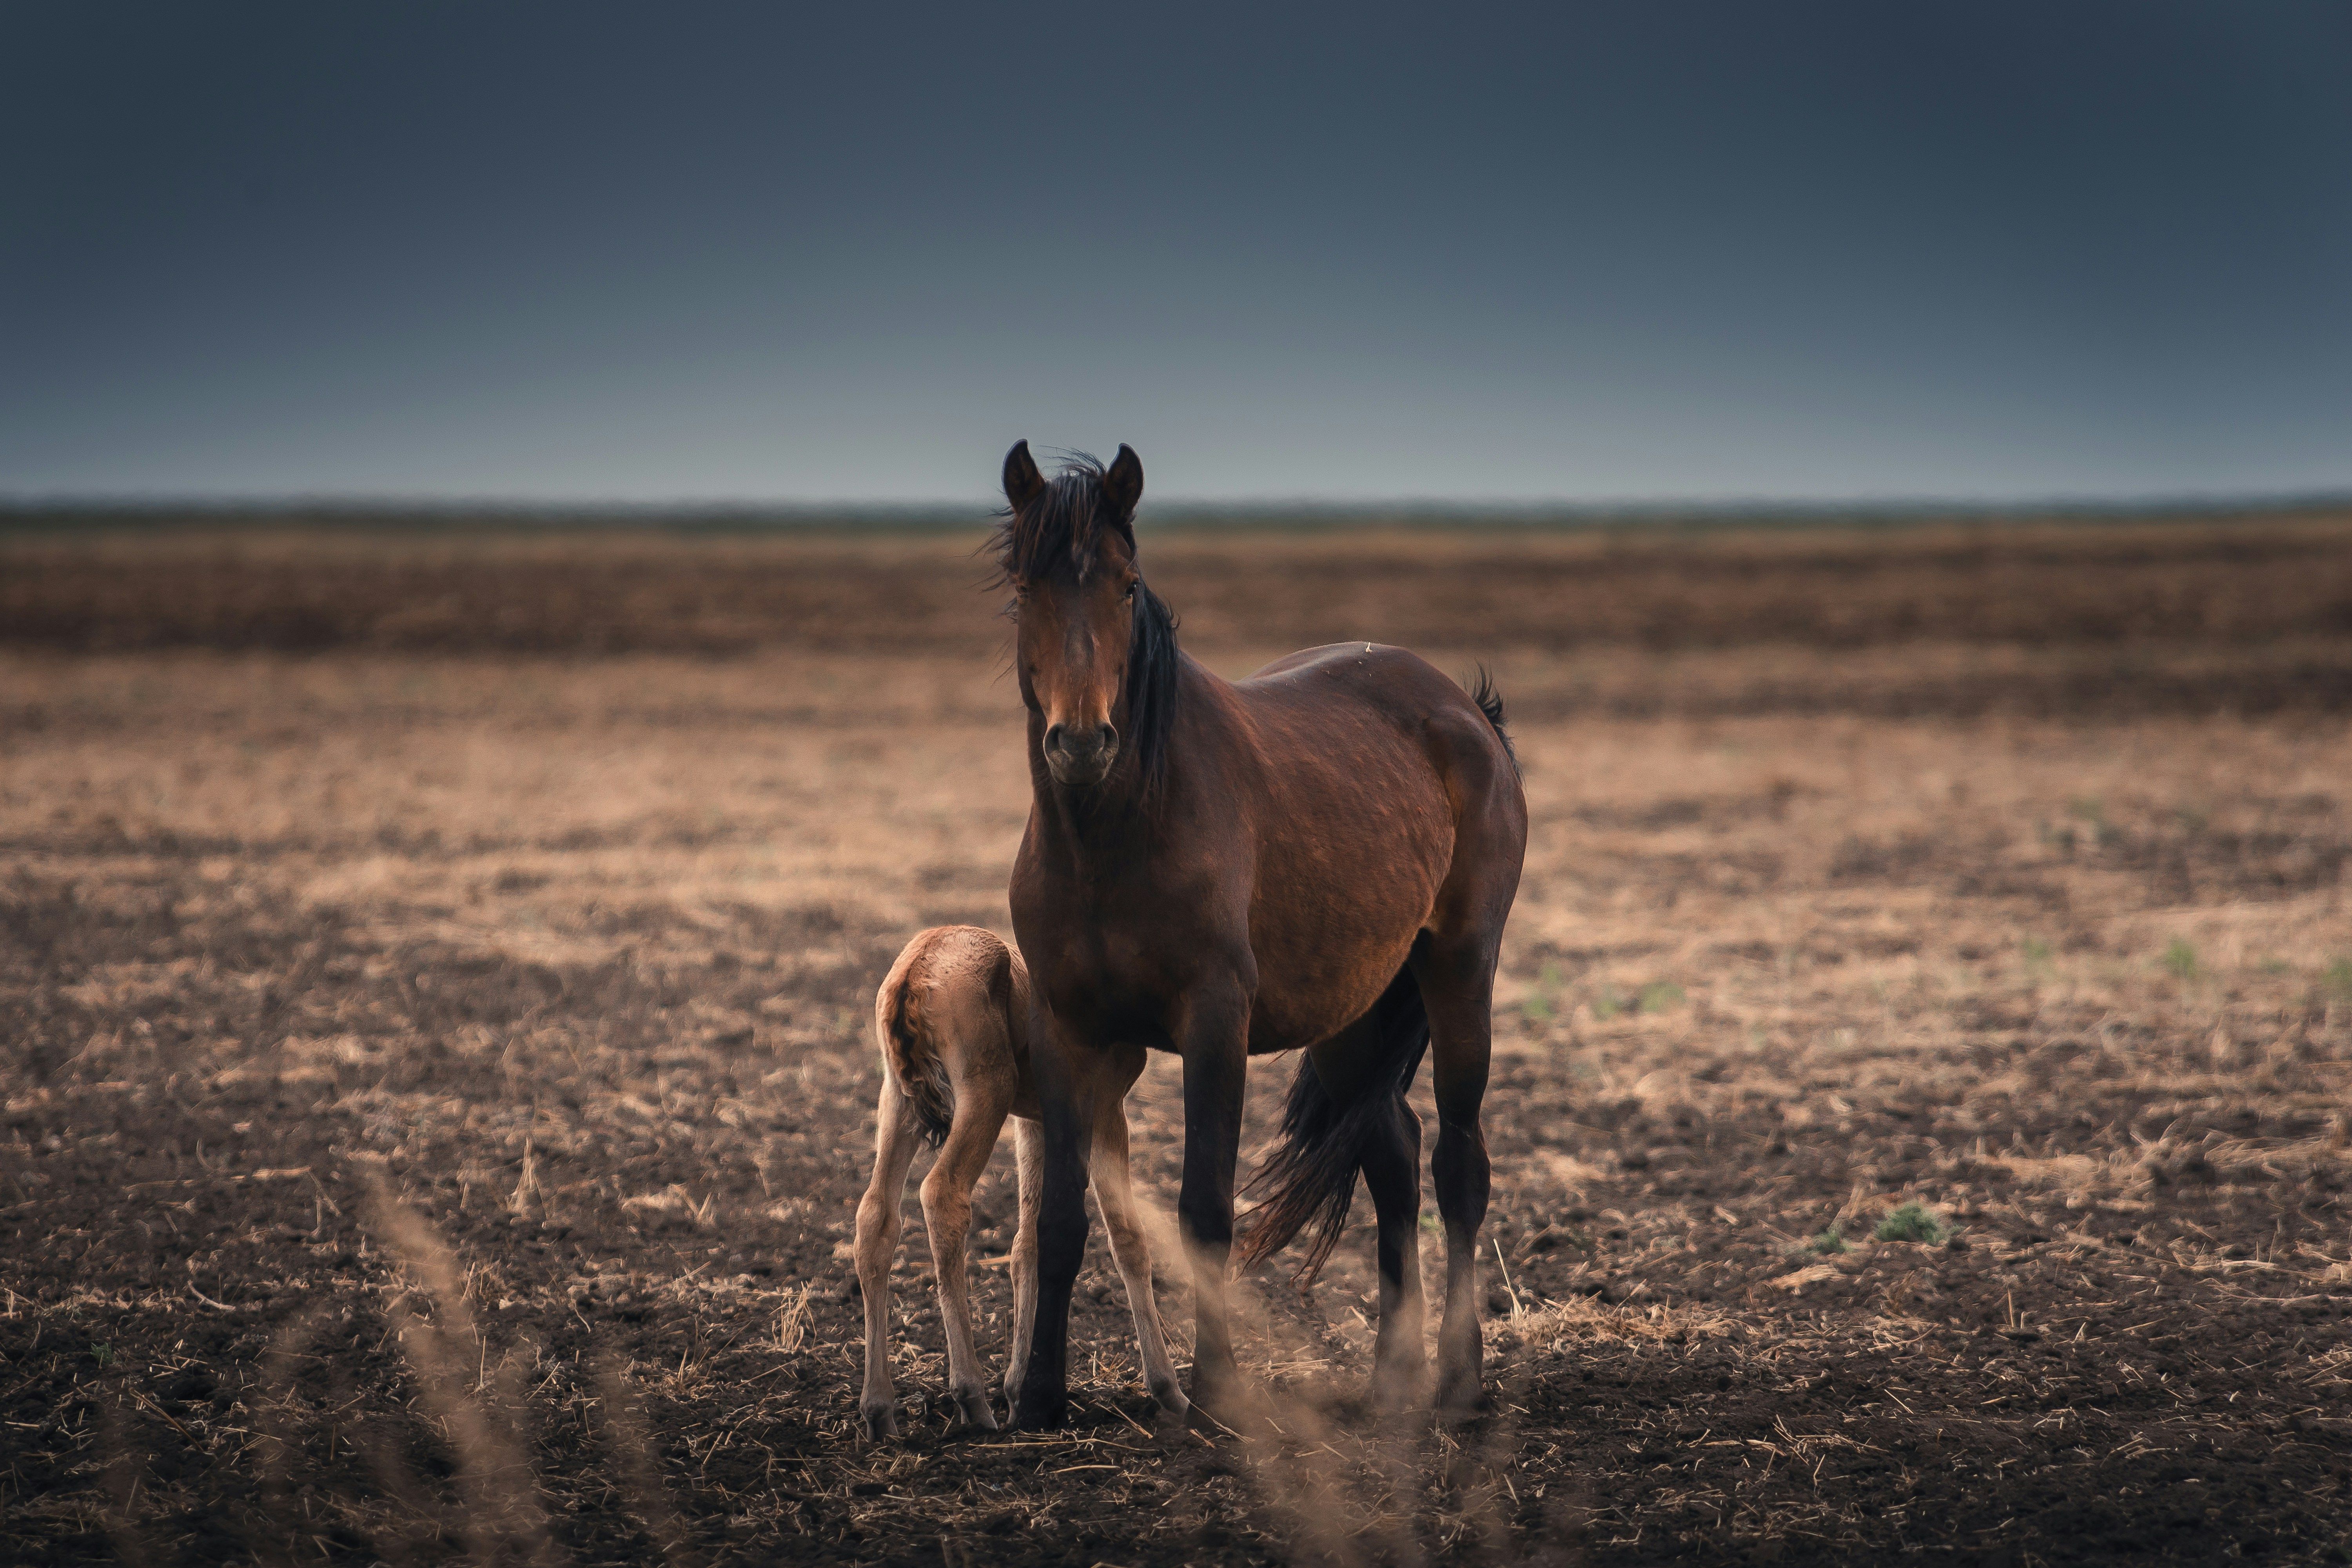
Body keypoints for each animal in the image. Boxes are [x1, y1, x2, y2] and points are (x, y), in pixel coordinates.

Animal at [853, 925, 1186, 1440]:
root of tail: (915, 970)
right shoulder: (1106, 1108)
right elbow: (1127, 1236)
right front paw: (1169, 1390)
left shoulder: (1035, 1119)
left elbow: (1029, 1241)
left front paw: (1019, 1394)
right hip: (984, 1093)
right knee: (943, 1194)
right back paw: (971, 1399)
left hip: (898, 1103)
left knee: (876, 1215)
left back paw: (880, 1411)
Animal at [995, 441, 1527, 1430]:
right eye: (1025, 585)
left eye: (1127, 584)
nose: (1082, 742)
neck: (1113, 832)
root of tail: (1465, 708)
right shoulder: (1064, 1026)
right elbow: (1060, 1216)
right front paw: (1039, 1396)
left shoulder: (1215, 1022)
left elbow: (1206, 1207)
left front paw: (1215, 1394)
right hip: (1355, 1009)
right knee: (1393, 1150)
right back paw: (1390, 1383)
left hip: (1459, 969)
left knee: (1458, 1165)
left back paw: (1457, 1383)